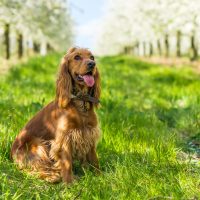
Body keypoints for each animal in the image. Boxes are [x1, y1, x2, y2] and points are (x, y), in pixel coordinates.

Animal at [10, 47, 101, 183]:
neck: (80, 102)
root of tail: (11, 155)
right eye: (77, 57)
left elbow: (94, 159)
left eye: (92, 57)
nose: (92, 64)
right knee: (33, 169)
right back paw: (53, 176)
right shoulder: (65, 137)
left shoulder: (89, 133)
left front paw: (100, 176)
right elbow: (67, 162)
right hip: (38, 145)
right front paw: (69, 182)